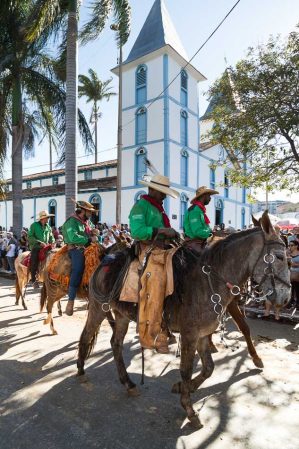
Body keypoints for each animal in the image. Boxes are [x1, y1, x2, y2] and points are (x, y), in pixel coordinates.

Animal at [77, 212, 290, 428]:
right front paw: (189, 409)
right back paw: (81, 372)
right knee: (86, 336)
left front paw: (182, 387)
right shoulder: (190, 335)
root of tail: (105, 258)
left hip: (121, 316)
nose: (286, 298)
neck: (207, 281)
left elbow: (208, 368)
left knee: (116, 343)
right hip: (98, 308)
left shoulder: (202, 334)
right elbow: (186, 370)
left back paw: (128, 383)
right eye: (280, 256)